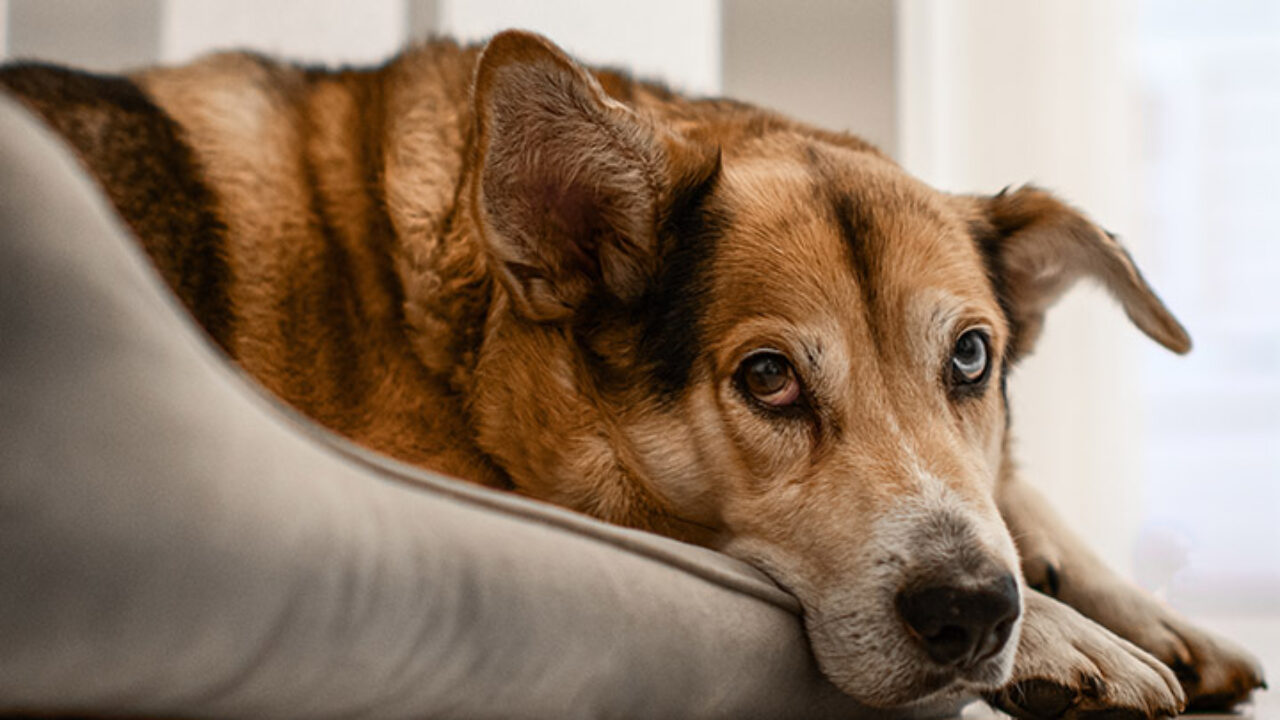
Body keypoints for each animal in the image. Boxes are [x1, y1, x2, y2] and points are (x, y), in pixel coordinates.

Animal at [0, 29, 1259, 717]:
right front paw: (1065, 633)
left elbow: (1007, 491)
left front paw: (1127, 604)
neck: (460, 326)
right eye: (767, 379)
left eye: (969, 357)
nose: (974, 611)